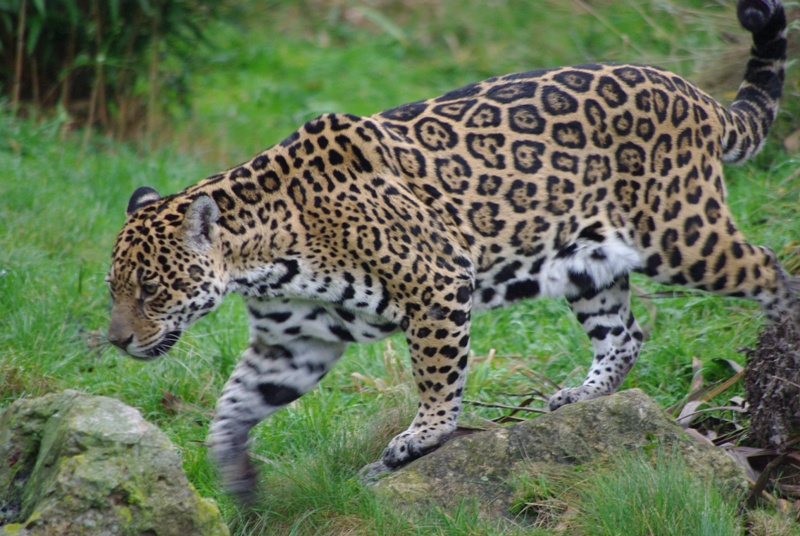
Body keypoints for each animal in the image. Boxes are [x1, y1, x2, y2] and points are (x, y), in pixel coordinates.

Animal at [107, 0, 796, 502]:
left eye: (151, 288)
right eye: (114, 289)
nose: (115, 341)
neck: (265, 258)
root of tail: (693, 93)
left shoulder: (435, 283)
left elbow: (438, 372)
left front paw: (421, 436)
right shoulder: (292, 342)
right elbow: (234, 403)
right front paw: (231, 471)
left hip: (681, 232)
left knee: (771, 268)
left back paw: (783, 347)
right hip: (590, 260)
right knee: (625, 334)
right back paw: (581, 395)